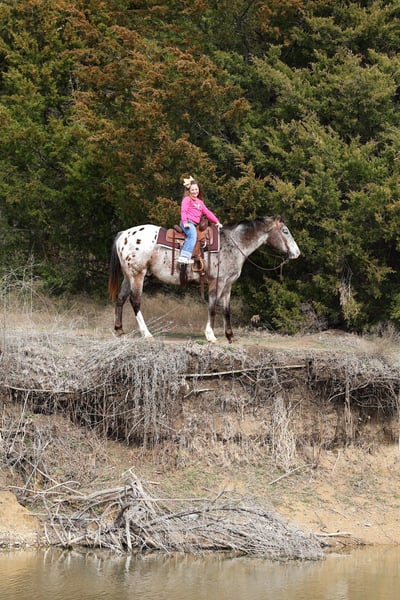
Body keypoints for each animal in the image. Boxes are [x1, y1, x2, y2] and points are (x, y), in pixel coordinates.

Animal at [108, 216, 300, 343]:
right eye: (285, 231)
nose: (297, 253)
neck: (233, 244)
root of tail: (124, 233)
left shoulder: (228, 284)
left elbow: (226, 310)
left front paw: (230, 336)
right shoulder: (218, 281)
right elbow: (213, 307)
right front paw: (210, 335)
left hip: (129, 276)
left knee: (120, 299)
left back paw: (119, 330)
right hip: (138, 275)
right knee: (135, 301)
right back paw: (146, 333)